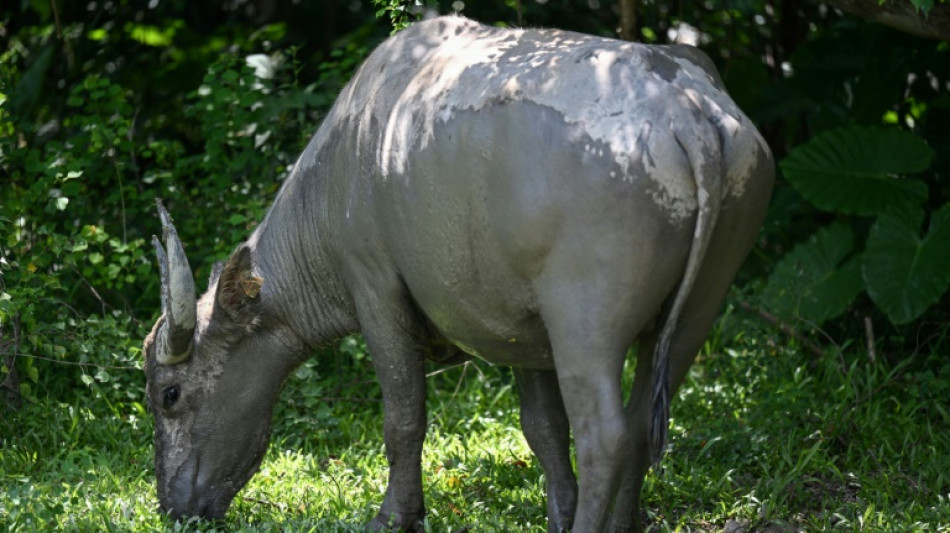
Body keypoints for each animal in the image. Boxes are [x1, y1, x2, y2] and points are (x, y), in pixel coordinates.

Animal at [145, 14, 776, 532]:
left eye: (169, 394)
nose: (173, 508)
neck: (347, 164)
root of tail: (687, 113)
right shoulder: (524, 335)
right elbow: (542, 428)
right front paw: (557, 514)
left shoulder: (375, 292)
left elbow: (404, 417)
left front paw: (394, 517)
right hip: (695, 312)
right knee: (644, 424)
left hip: (586, 324)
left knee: (607, 434)